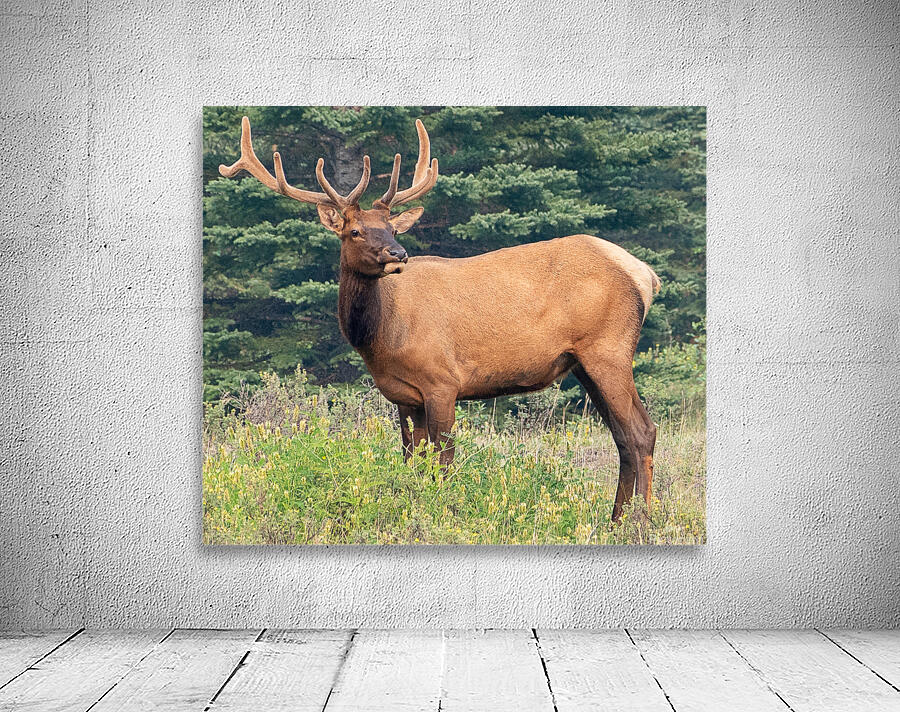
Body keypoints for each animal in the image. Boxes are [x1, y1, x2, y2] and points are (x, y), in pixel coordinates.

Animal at [219, 116, 660, 522]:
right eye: (355, 231)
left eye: (392, 228)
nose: (398, 253)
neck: (382, 336)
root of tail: (645, 274)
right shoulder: (403, 395)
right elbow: (411, 460)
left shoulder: (443, 381)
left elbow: (443, 462)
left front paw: (442, 514)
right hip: (583, 362)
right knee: (622, 437)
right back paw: (614, 520)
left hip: (608, 349)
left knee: (642, 431)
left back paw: (640, 522)